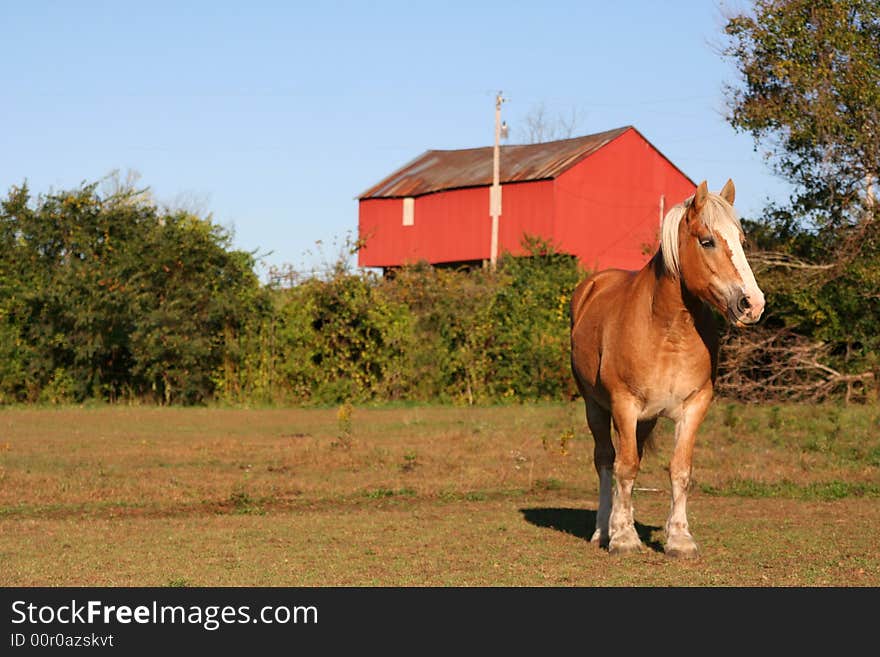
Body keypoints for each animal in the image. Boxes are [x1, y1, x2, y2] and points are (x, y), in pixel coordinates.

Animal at [572, 179, 764, 560]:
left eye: (740, 240)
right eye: (707, 241)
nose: (753, 304)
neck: (667, 330)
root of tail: (592, 286)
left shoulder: (694, 406)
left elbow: (679, 470)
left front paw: (679, 539)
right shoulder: (624, 404)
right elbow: (624, 468)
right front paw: (624, 538)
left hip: (645, 420)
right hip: (595, 407)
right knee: (606, 461)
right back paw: (603, 529)